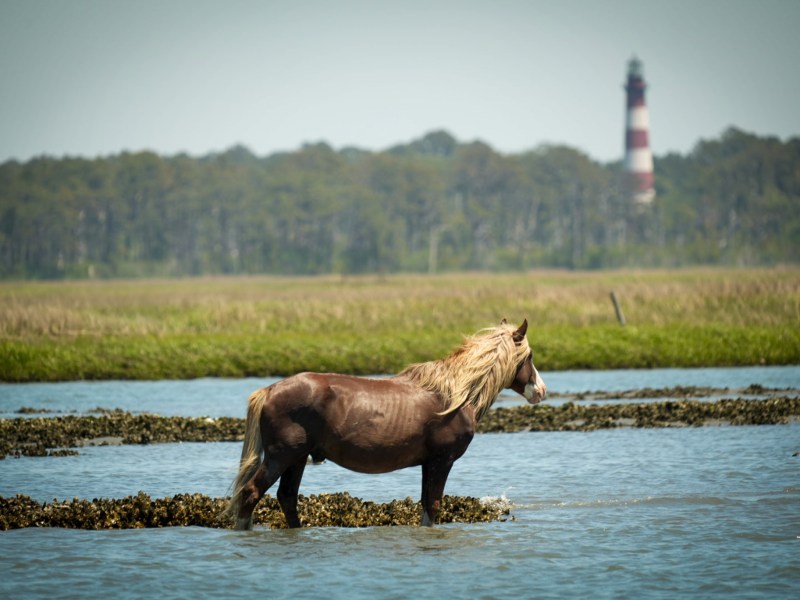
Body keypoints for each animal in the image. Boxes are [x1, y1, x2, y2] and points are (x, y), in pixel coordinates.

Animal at [226, 319, 546, 529]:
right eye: (529, 356)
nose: (540, 391)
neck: (455, 394)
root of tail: (269, 390)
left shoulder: (428, 463)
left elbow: (425, 506)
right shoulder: (442, 460)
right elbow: (434, 505)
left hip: (298, 458)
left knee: (287, 498)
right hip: (281, 457)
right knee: (251, 494)